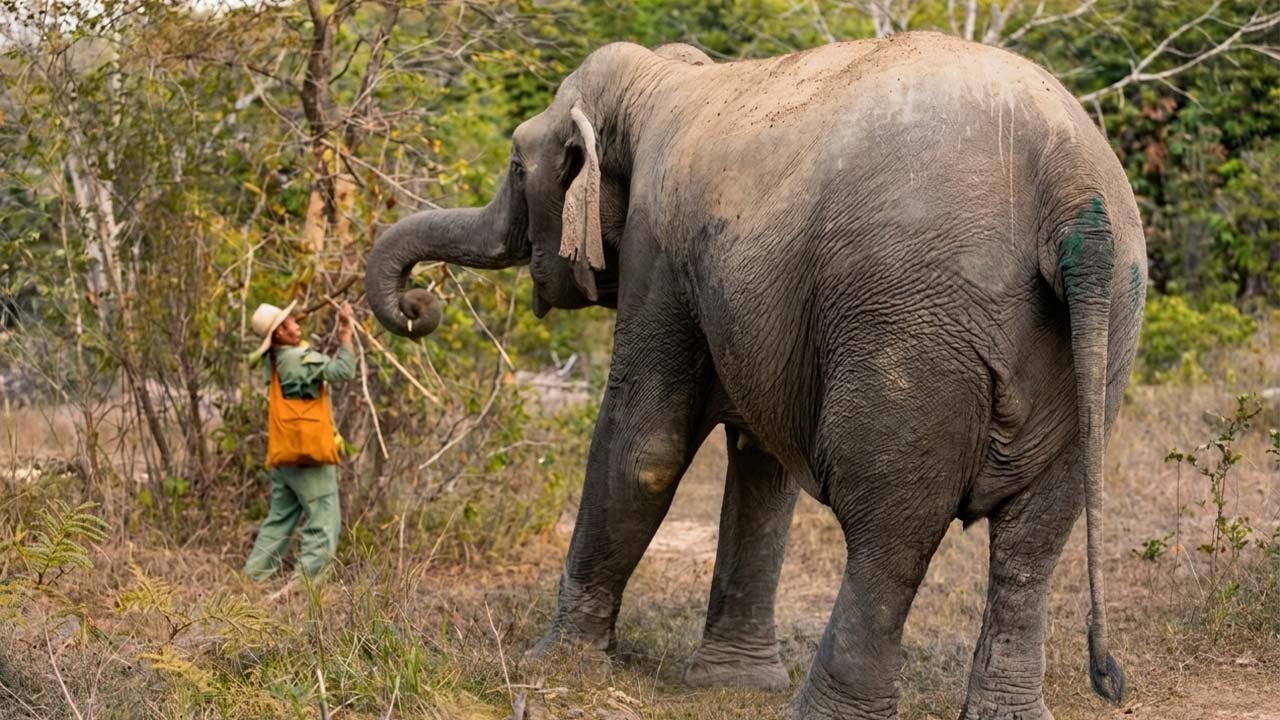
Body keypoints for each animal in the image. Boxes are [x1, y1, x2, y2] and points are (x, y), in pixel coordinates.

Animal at [366, 32, 1144, 720]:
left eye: (514, 165)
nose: (419, 306)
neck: (660, 82)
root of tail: (1068, 178)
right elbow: (762, 463)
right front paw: (730, 684)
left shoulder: (658, 245)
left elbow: (645, 446)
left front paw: (554, 663)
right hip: (1102, 337)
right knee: (1036, 532)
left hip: (911, 324)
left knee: (892, 527)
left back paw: (824, 712)